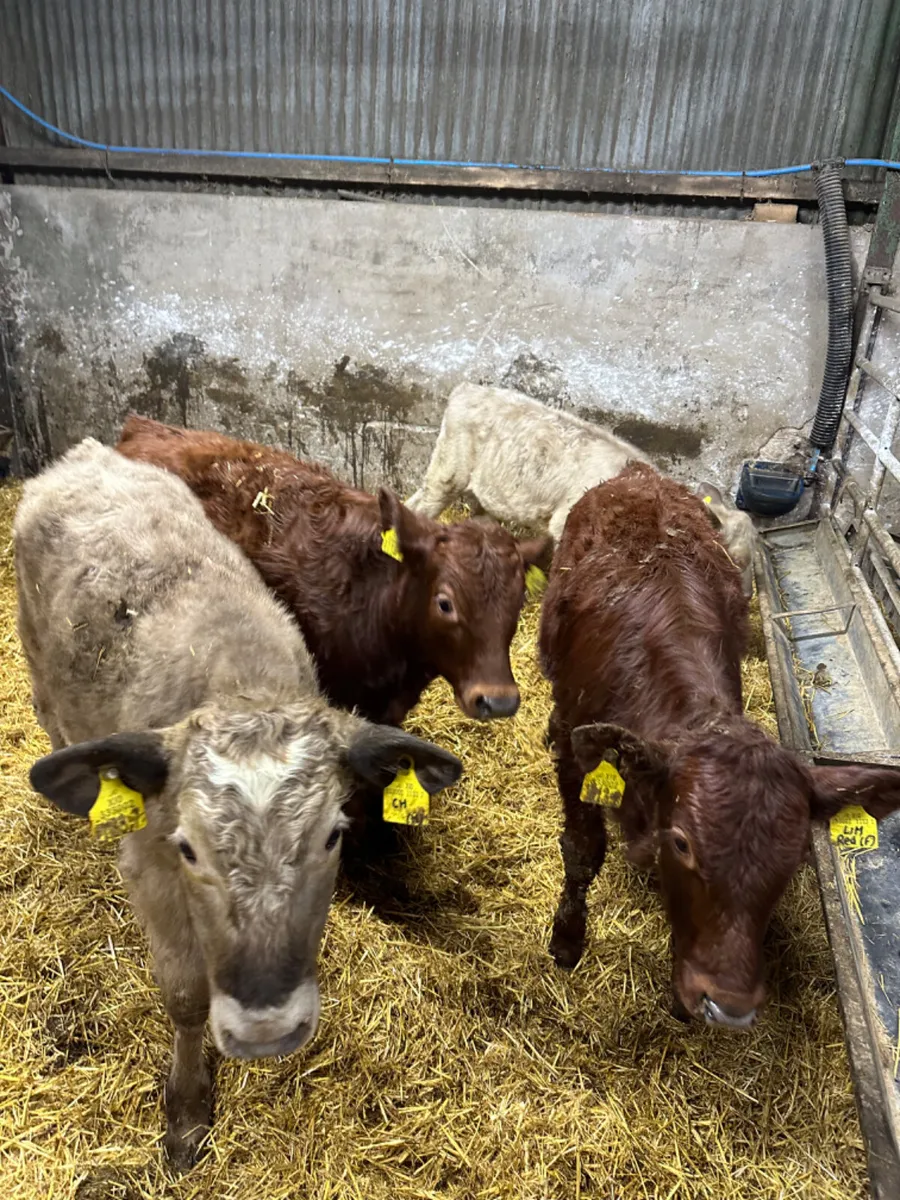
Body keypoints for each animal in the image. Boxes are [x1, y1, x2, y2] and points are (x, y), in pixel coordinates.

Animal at [16, 440, 461, 1168]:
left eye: (333, 836)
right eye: (189, 849)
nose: (265, 1030)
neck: (241, 685)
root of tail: (85, 454)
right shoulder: (149, 865)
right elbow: (185, 994)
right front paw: (188, 1104)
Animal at [406, 383, 757, 596]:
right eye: (733, 559)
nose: (748, 594)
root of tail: (468, 388)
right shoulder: (564, 523)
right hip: (447, 473)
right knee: (419, 507)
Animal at [538, 462, 900, 1028]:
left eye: (796, 857)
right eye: (683, 843)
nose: (729, 1007)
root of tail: (637, 474)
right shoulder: (576, 745)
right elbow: (581, 852)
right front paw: (567, 941)